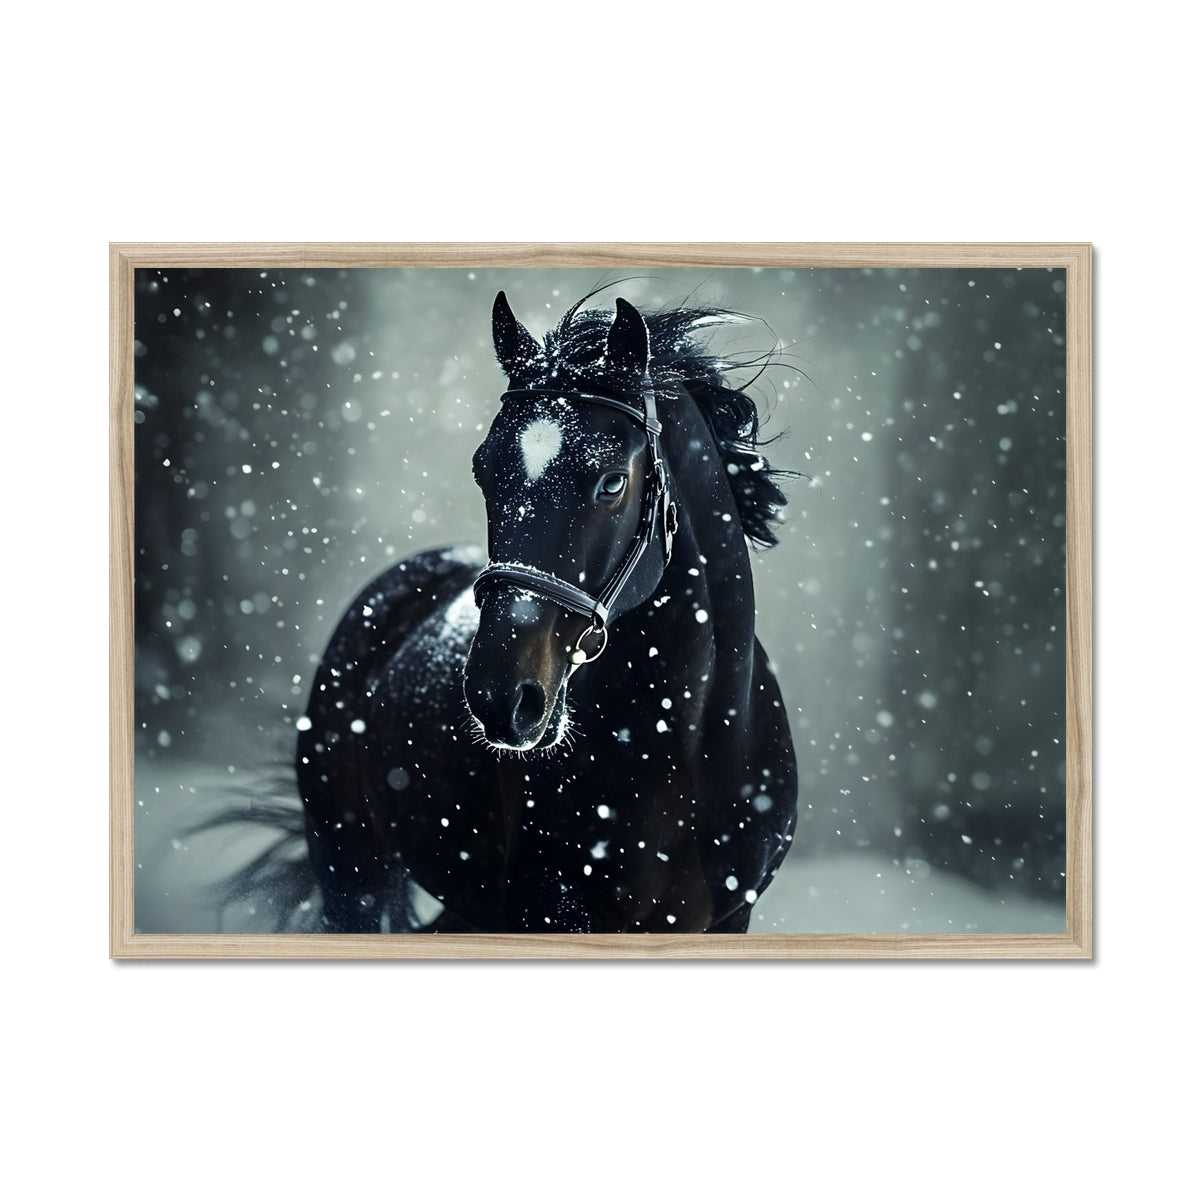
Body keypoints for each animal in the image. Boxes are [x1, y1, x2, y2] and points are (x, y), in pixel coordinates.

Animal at [283, 290, 798, 933]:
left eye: (612, 482)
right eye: (483, 470)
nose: (498, 696)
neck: (681, 753)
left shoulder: (732, 915)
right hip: (351, 870)